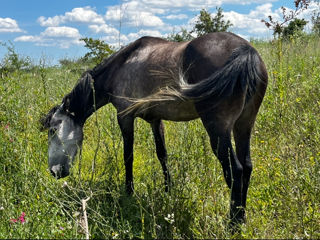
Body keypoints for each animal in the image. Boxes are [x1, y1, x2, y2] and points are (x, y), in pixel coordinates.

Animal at [41, 31, 268, 225]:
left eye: (53, 129)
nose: (53, 171)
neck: (121, 66)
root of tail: (245, 51)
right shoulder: (155, 120)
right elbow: (162, 155)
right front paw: (168, 190)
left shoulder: (124, 117)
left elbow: (128, 156)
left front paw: (129, 192)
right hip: (244, 125)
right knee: (247, 166)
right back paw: (242, 218)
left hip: (218, 130)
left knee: (235, 171)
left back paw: (233, 223)